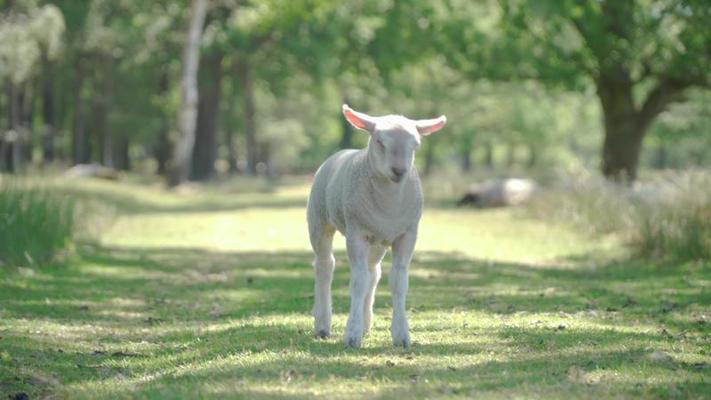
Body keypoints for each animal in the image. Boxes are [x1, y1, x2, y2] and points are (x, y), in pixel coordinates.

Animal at [304, 104, 444, 346]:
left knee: (373, 272)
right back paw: (323, 324)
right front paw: (351, 335)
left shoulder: (407, 235)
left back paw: (366, 323)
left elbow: (399, 281)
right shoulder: (356, 233)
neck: (388, 203)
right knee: (325, 265)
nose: (399, 171)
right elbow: (358, 281)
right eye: (380, 141)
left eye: (415, 144)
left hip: (378, 240)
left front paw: (401, 335)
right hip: (319, 218)